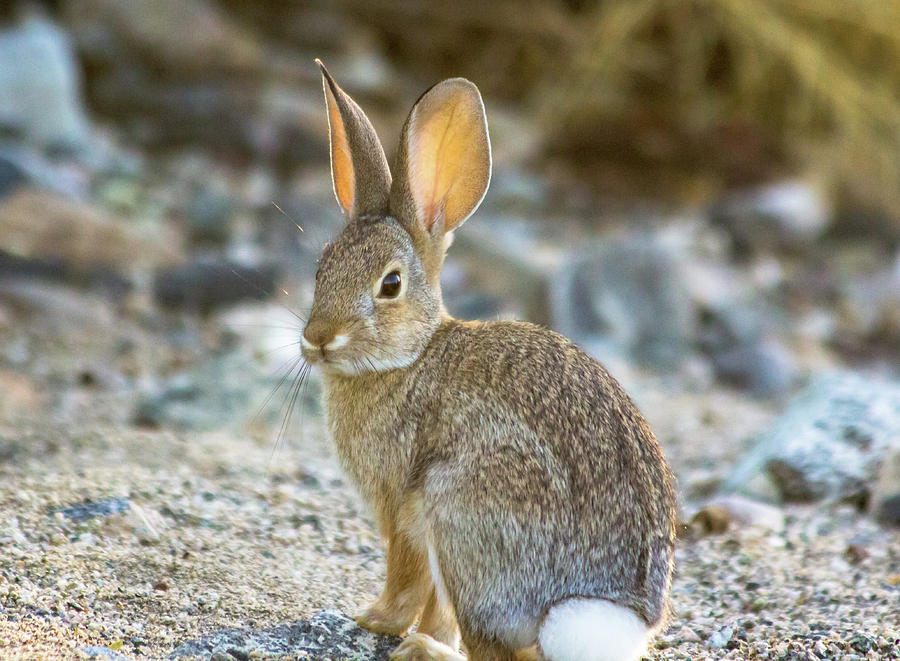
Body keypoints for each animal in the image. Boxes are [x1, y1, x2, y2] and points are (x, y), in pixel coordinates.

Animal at [302, 62, 676, 660]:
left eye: (390, 284)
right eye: (322, 267)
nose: (316, 339)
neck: (412, 358)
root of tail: (603, 615)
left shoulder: (403, 508)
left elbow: (406, 579)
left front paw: (375, 621)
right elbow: (434, 605)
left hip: (464, 513)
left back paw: (424, 651)